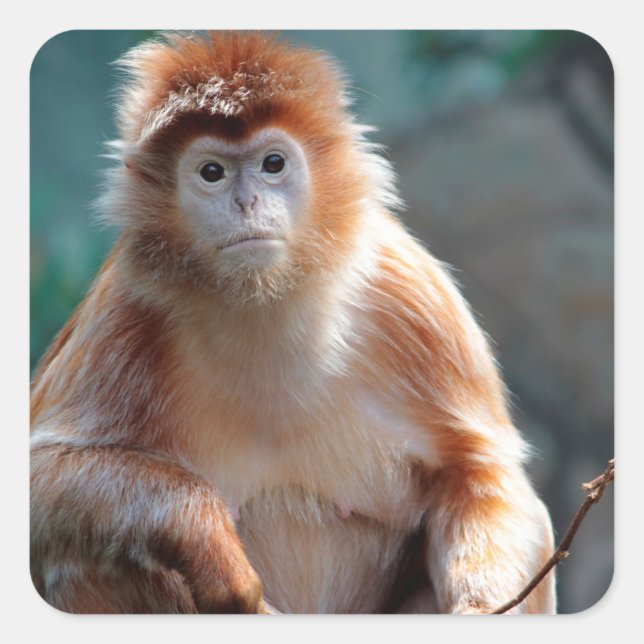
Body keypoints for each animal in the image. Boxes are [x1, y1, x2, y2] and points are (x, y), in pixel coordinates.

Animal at [30, 31, 556, 615]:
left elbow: (483, 470)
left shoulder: (411, 295)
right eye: (211, 172)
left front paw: (479, 609)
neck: (265, 305)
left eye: (273, 163)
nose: (246, 202)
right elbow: (39, 478)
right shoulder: (123, 311)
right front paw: (208, 544)